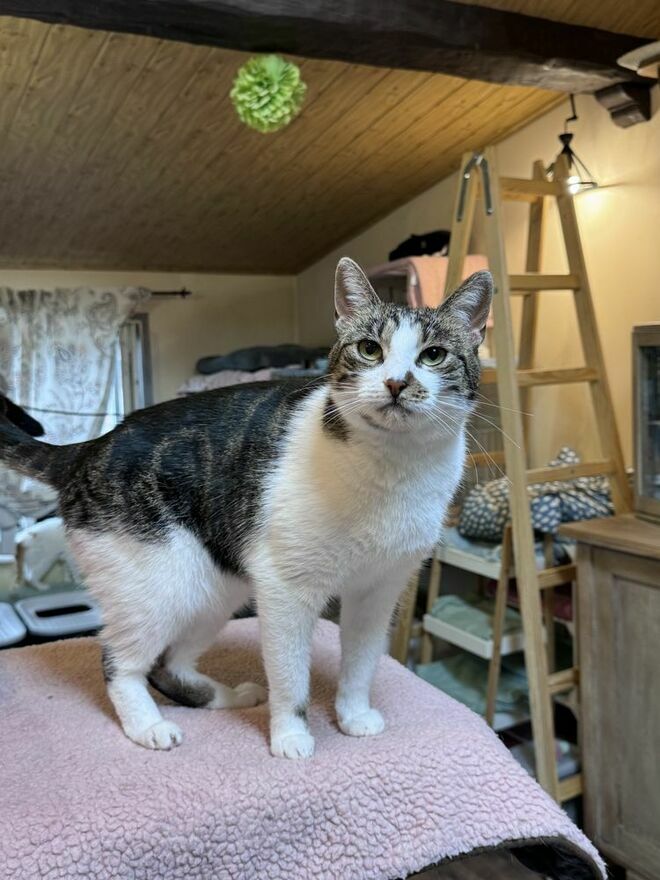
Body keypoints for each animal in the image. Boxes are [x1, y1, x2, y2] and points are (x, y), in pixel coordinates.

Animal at [0, 258, 492, 758]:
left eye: (433, 355)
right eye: (370, 349)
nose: (396, 382)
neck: (392, 468)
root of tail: (89, 448)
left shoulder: (379, 589)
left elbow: (362, 662)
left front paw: (353, 715)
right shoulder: (285, 588)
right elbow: (291, 676)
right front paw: (291, 735)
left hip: (212, 587)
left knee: (168, 663)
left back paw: (228, 697)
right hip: (154, 587)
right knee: (121, 662)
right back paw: (148, 725)